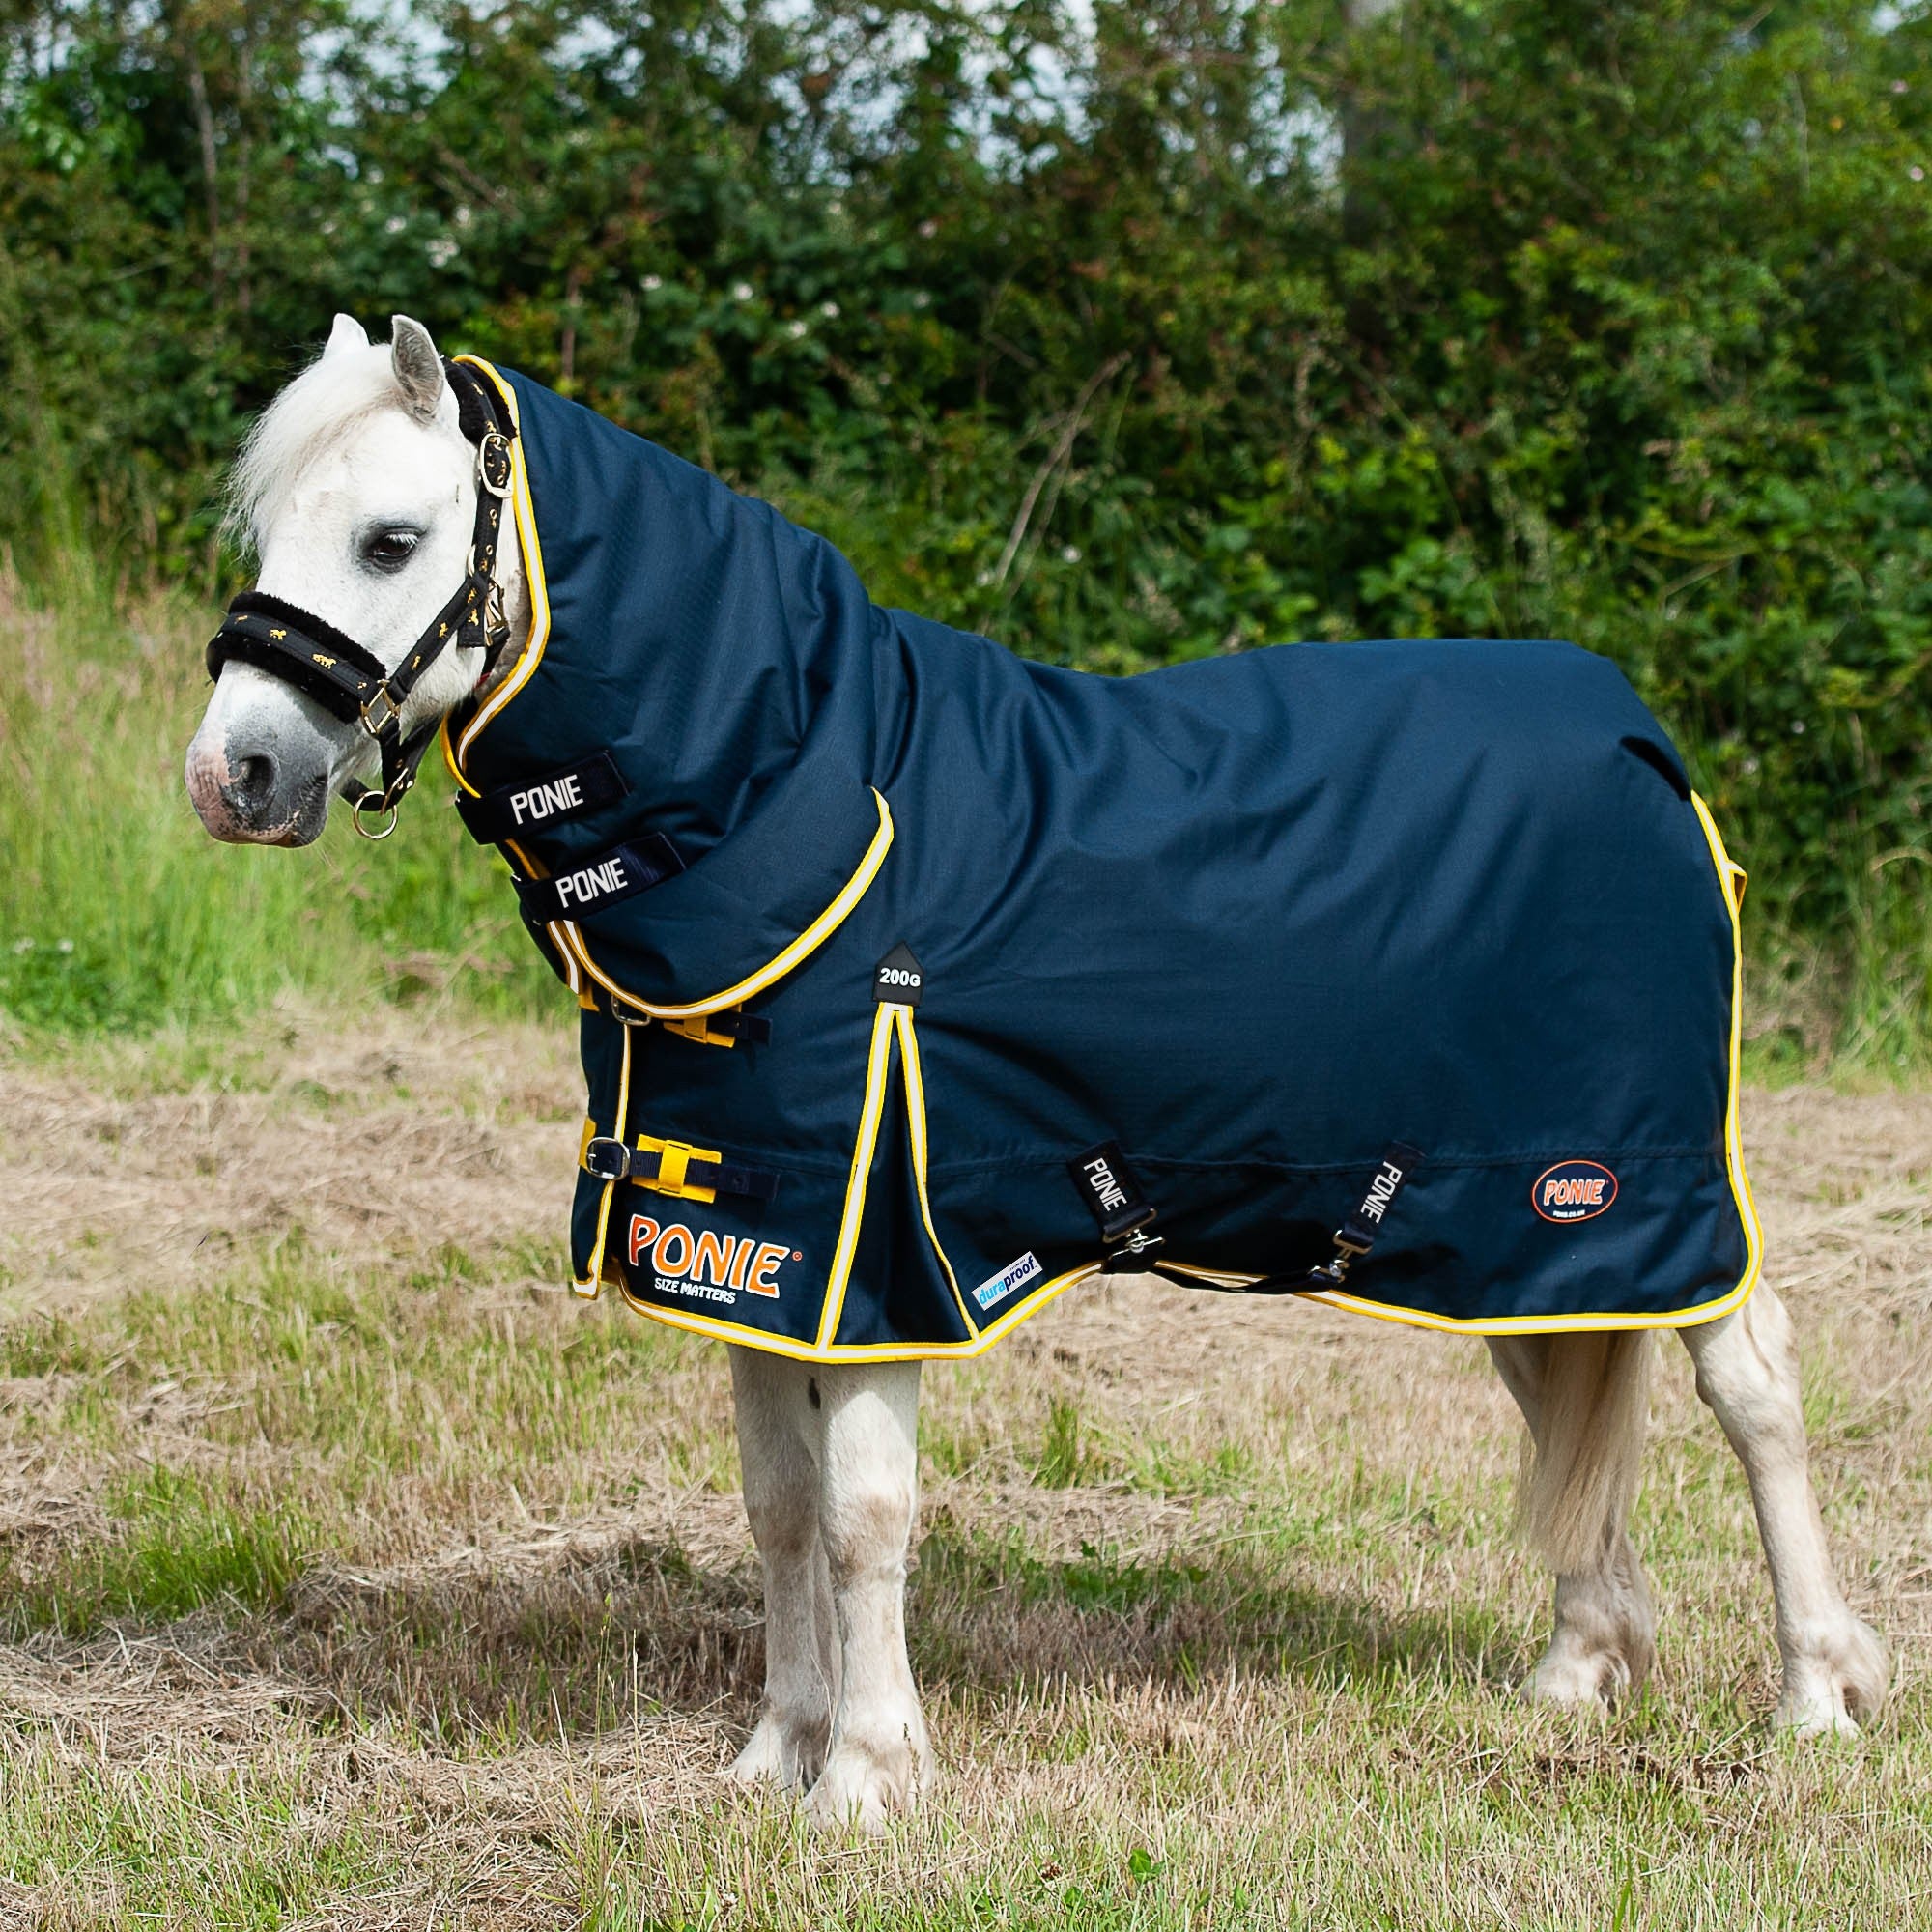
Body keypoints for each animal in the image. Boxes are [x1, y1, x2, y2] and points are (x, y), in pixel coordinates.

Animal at [184, 314, 1889, 1830]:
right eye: (268, 527)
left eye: (392, 542)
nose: (234, 776)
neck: (811, 803)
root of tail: (1643, 742)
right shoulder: (756, 1244)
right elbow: (778, 1507)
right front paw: (774, 1758)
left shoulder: (877, 1249)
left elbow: (865, 1518)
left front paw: (869, 1783)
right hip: (1509, 1219)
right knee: (1568, 1384)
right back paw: (1575, 1676)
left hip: (1647, 1181)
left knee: (1755, 1383)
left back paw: (1817, 1694)